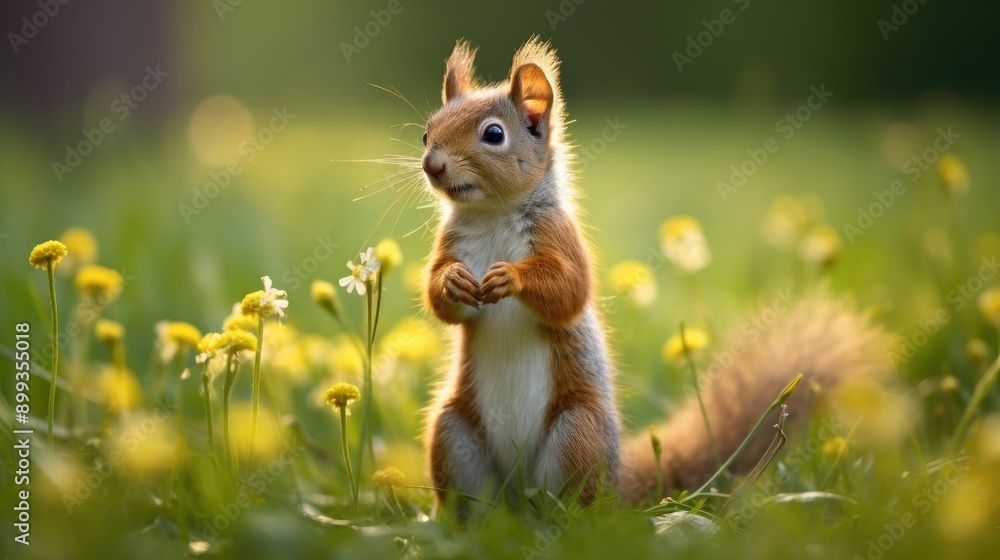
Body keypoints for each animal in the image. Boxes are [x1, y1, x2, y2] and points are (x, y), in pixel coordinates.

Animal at [418, 38, 893, 507]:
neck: (492, 213)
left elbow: (569, 290)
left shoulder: (559, 237)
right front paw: (452, 281)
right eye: (427, 131)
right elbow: (440, 302)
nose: (431, 164)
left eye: (494, 134)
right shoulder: (451, 245)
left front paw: (511, 277)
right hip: (453, 433)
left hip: (577, 432)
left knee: (576, 507)